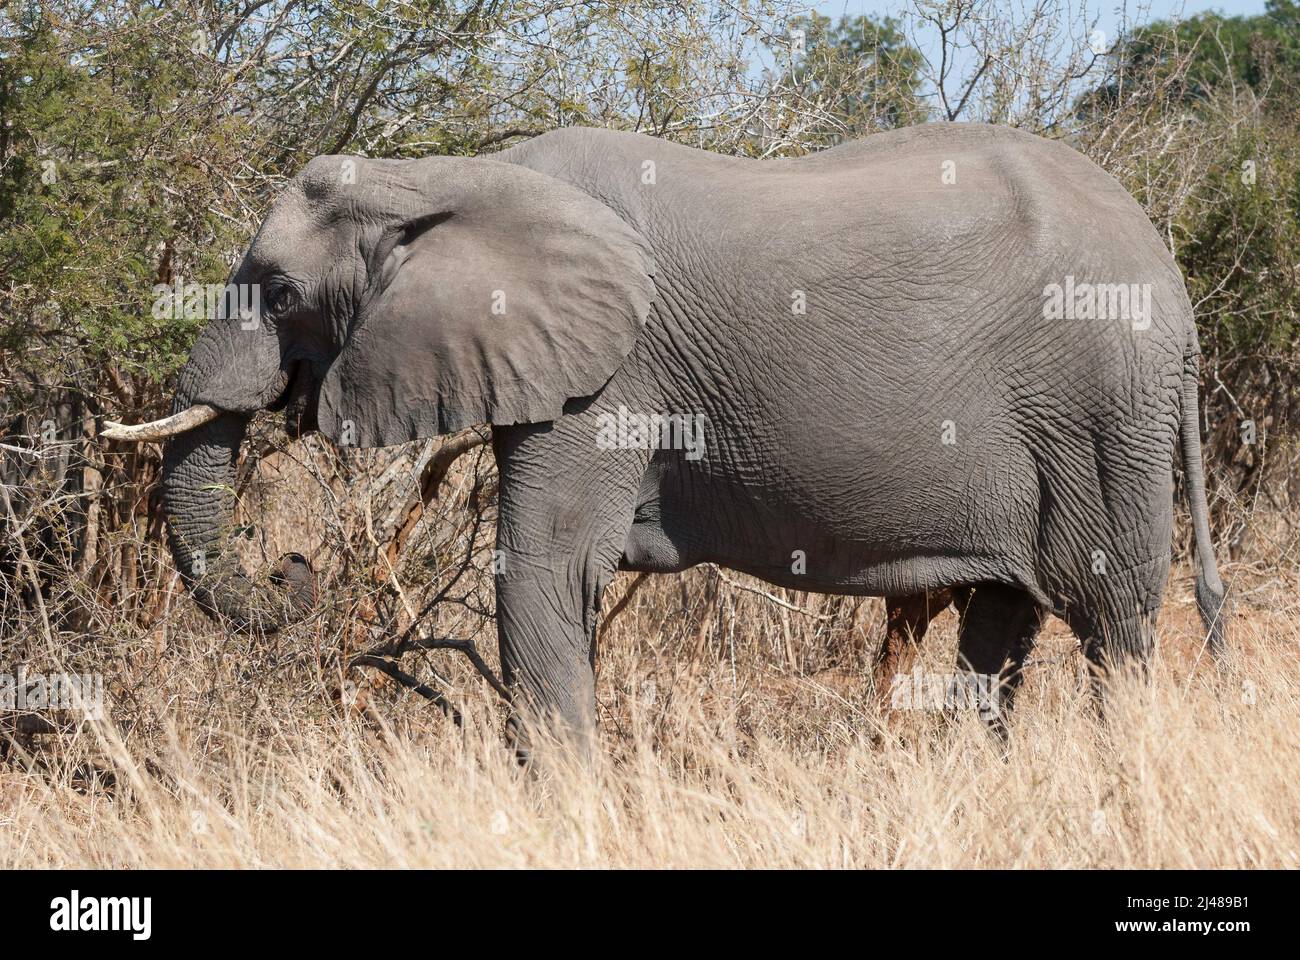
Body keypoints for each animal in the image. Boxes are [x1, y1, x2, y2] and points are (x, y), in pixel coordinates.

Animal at [104, 123, 1227, 744]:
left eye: (281, 291)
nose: (291, 566)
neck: (445, 176)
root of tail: (1175, 291)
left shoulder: (606, 381)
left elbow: (544, 570)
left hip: (1101, 412)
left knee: (1111, 618)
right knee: (1001, 623)